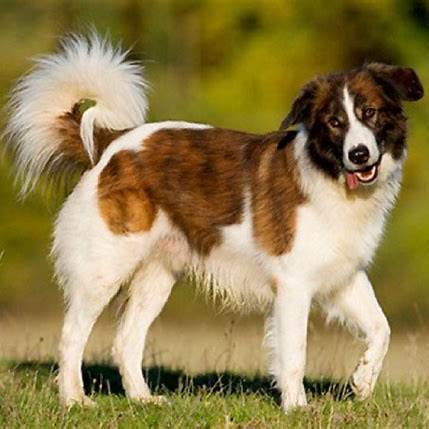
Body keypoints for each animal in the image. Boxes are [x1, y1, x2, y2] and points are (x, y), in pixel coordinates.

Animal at [4, 35, 422, 410]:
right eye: (335, 122)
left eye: (369, 113)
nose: (359, 154)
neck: (329, 175)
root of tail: (110, 144)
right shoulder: (293, 285)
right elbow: (295, 352)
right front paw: (297, 407)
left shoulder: (343, 276)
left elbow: (382, 329)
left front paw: (363, 381)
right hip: (103, 268)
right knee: (72, 335)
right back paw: (74, 399)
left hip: (157, 276)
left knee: (126, 340)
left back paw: (142, 399)